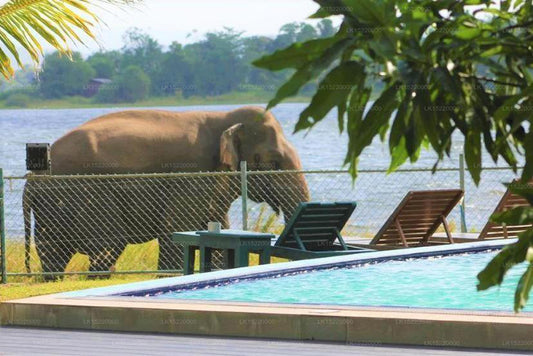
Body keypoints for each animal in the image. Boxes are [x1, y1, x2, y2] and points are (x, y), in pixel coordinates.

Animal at [22, 105, 310, 278]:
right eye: (272, 161)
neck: (223, 116)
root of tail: (32, 177)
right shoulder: (190, 173)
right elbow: (176, 226)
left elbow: (218, 228)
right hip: (84, 193)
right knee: (109, 243)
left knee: (53, 249)